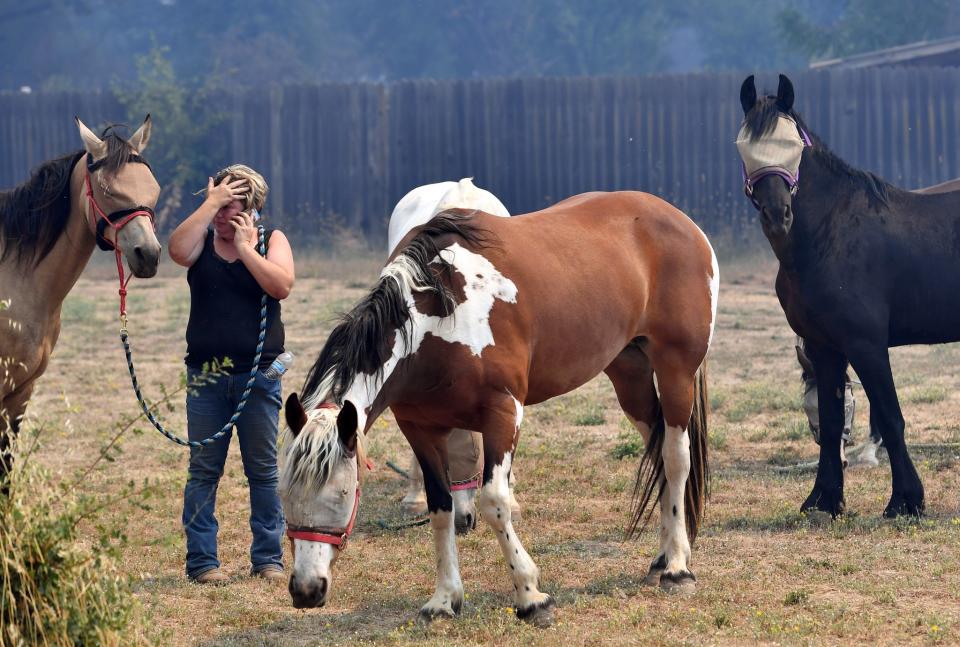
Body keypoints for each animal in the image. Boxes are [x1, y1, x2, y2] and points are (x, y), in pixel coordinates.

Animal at [276, 190, 712, 624]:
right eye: (282, 494)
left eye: (342, 492)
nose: (305, 590)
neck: (440, 311)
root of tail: (679, 220)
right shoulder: (420, 428)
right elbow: (441, 509)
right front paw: (444, 599)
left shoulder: (503, 414)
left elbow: (494, 502)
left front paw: (531, 595)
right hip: (629, 373)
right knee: (657, 452)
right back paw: (661, 559)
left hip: (675, 371)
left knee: (675, 457)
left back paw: (677, 567)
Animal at [736, 76, 960, 520]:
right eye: (745, 147)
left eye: (792, 146)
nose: (777, 216)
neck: (829, 234)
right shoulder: (825, 347)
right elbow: (831, 419)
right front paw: (824, 500)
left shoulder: (866, 344)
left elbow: (890, 418)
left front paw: (905, 501)